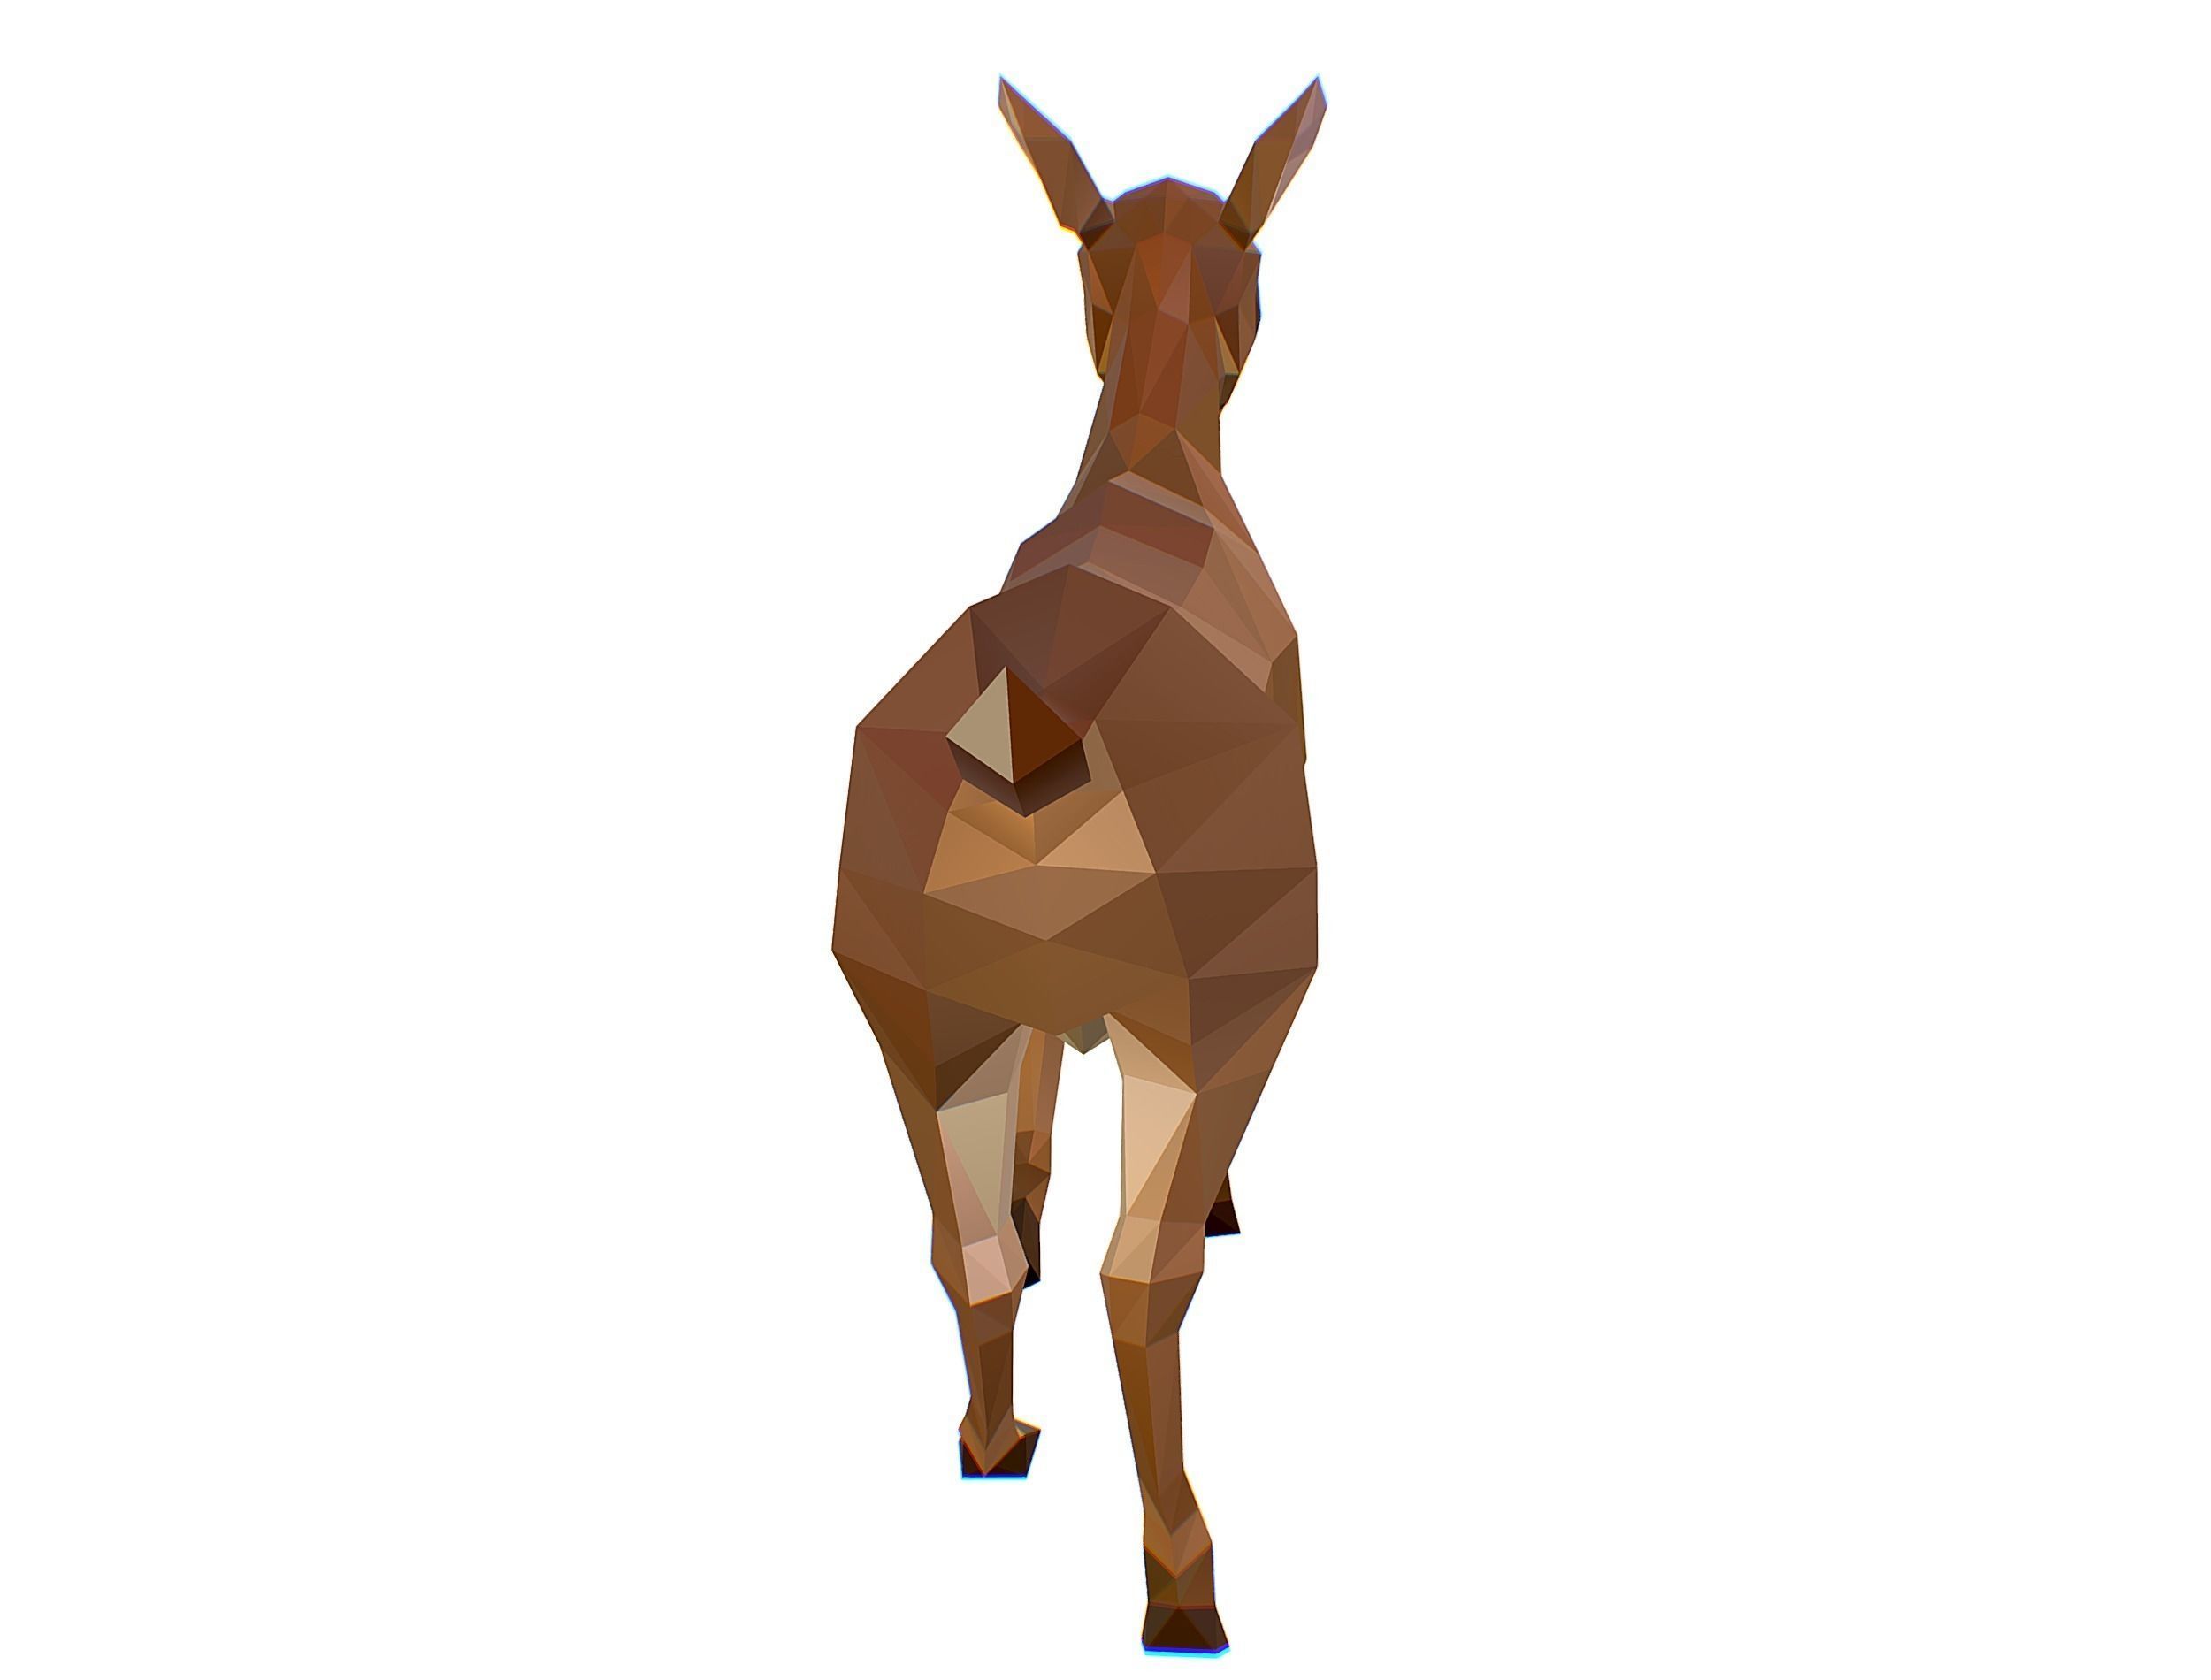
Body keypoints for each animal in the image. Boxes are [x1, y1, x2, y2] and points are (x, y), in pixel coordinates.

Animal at [832, 77, 1326, 1655]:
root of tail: (1027, 724)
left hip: (909, 1013)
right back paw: (1185, 1586)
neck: (1154, 472)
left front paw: (1039, 1188)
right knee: (1142, 1279)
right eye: (1259, 268)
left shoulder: (1019, 1004)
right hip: (1220, 1002)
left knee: (959, 1246)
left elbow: (1036, 1120)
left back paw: (993, 1442)